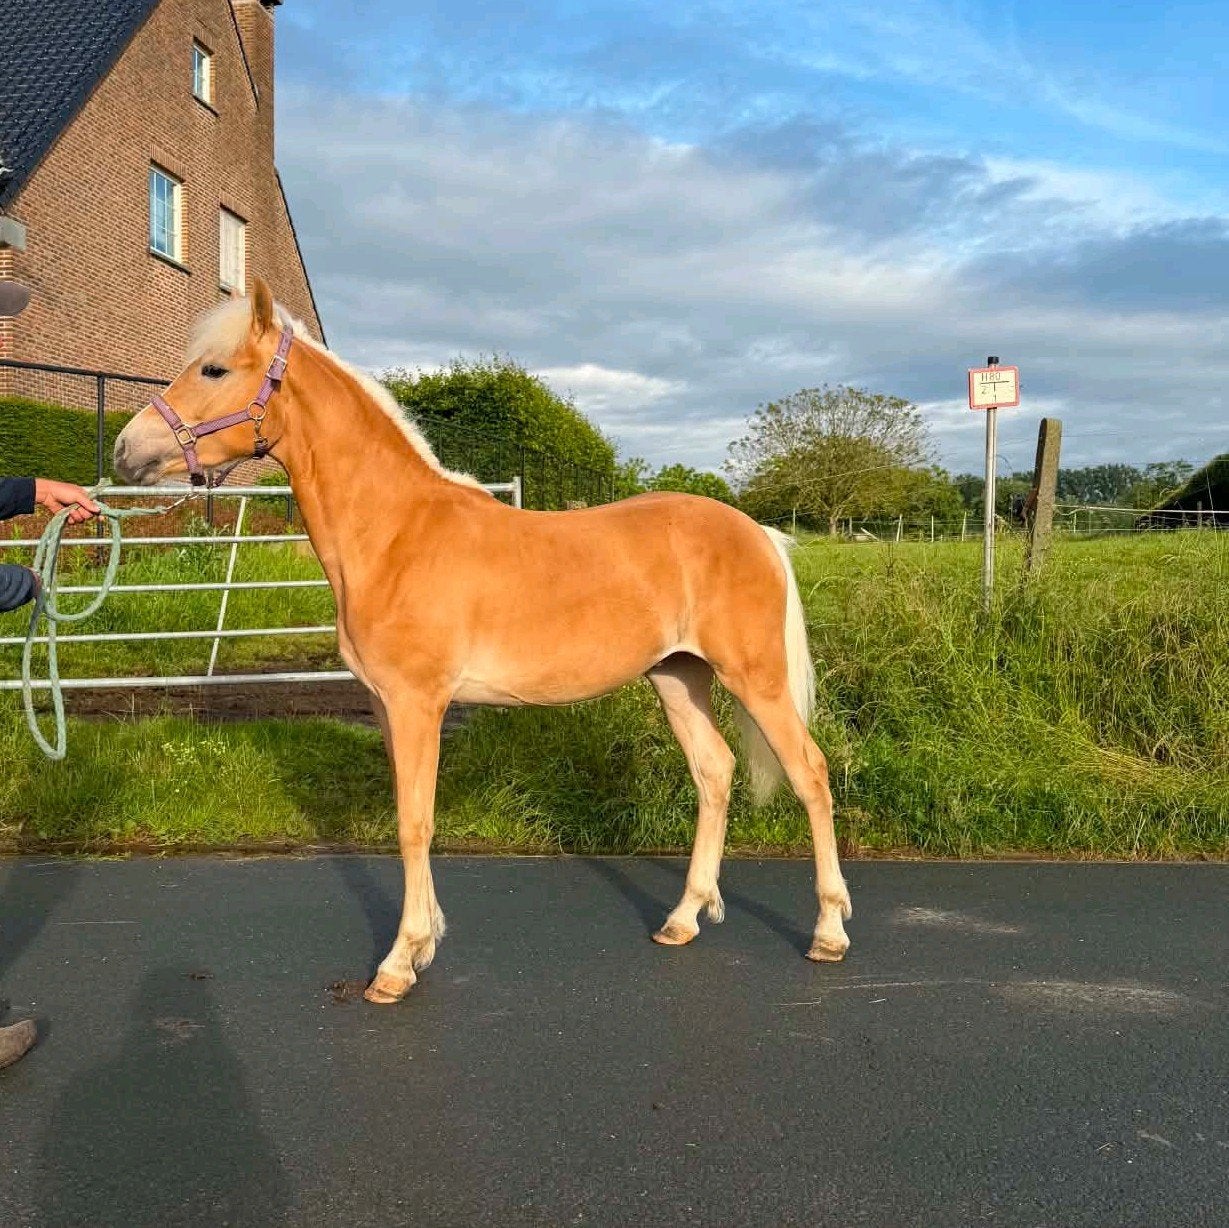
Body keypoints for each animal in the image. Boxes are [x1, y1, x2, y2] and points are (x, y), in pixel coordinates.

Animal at [113, 278, 852, 1004]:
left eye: (214, 369)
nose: (126, 451)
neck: (395, 531)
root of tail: (759, 533)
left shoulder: (419, 703)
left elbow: (415, 823)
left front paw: (398, 963)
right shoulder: (387, 706)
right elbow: (410, 815)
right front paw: (423, 944)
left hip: (754, 677)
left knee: (809, 773)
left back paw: (828, 931)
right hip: (677, 676)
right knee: (714, 771)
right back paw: (683, 918)